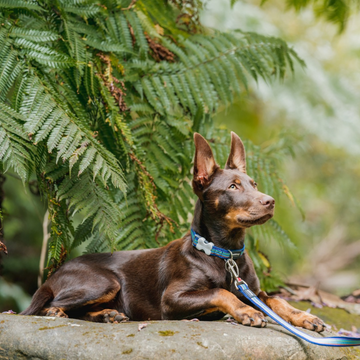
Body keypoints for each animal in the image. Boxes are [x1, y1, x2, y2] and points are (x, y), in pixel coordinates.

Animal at [21, 131, 326, 332]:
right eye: (233, 187)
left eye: (254, 183)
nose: (270, 202)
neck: (224, 253)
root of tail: (55, 274)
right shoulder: (172, 299)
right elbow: (221, 292)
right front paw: (245, 312)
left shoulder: (253, 291)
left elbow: (277, 299)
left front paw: (304, 316)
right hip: (104, 282)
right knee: (50, 306)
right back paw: (61, 310)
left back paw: (109, 315)